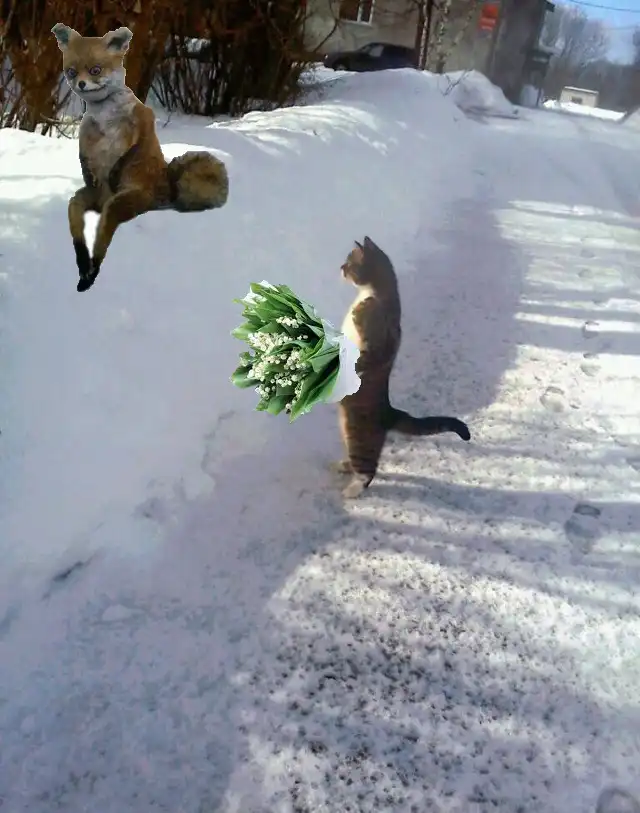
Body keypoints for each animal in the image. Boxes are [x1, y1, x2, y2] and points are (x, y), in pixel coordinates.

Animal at [52, 23, 229, 292]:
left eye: (95, 70)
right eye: (71, 72)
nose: (81, 84)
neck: (105, 116)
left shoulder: (141, 122)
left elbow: (130, 149)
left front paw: (116, 168)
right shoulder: (87, 135)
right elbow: (84, 157)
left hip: (119, 204)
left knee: (102, 240)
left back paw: (92, 271)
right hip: (81, 201)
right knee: (78, 233)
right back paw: (83, 267)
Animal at [334, 235, 471, 499]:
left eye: (349, 263)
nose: (340, 268)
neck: (369, 294)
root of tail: (390, 411)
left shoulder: (374, 342)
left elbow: (363, 358)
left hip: (358, 435)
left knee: (368, 470)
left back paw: (352, 490)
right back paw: (344, 466)